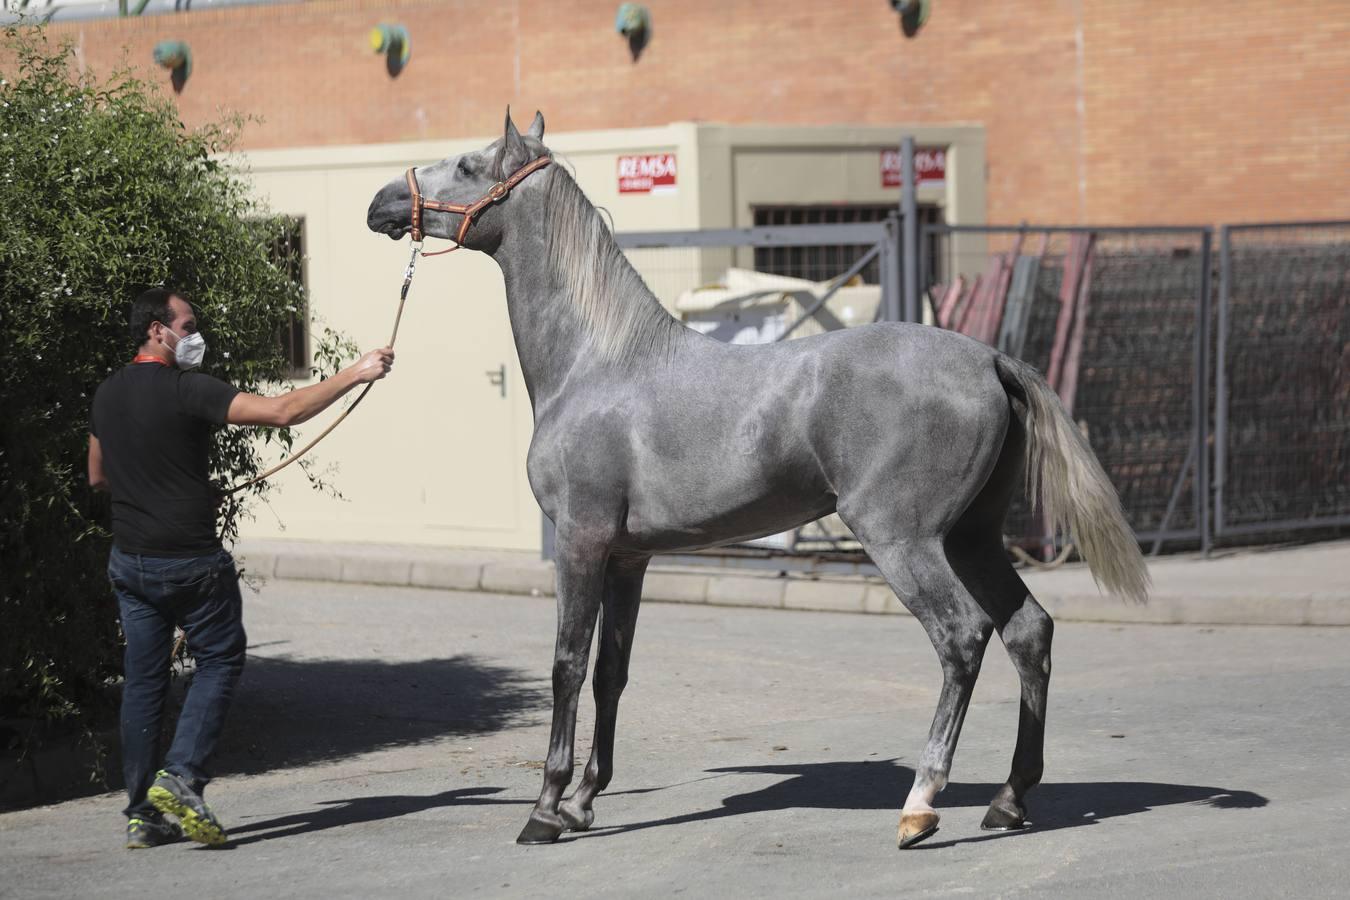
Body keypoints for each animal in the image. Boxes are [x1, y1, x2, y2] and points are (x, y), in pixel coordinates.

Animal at [369, 112, 1150, 852]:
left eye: (468, 165)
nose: (382, 202)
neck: (599, 362)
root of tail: (989, 358)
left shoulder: (581, 543)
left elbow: (565, 665)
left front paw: (545, 810)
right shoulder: (629, 557)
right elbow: (611, 671)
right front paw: (586, 802)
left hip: (905, 542)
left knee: (962, 637)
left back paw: (920, 806)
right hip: (973, 538)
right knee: (1028, 631)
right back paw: (1009, 799)